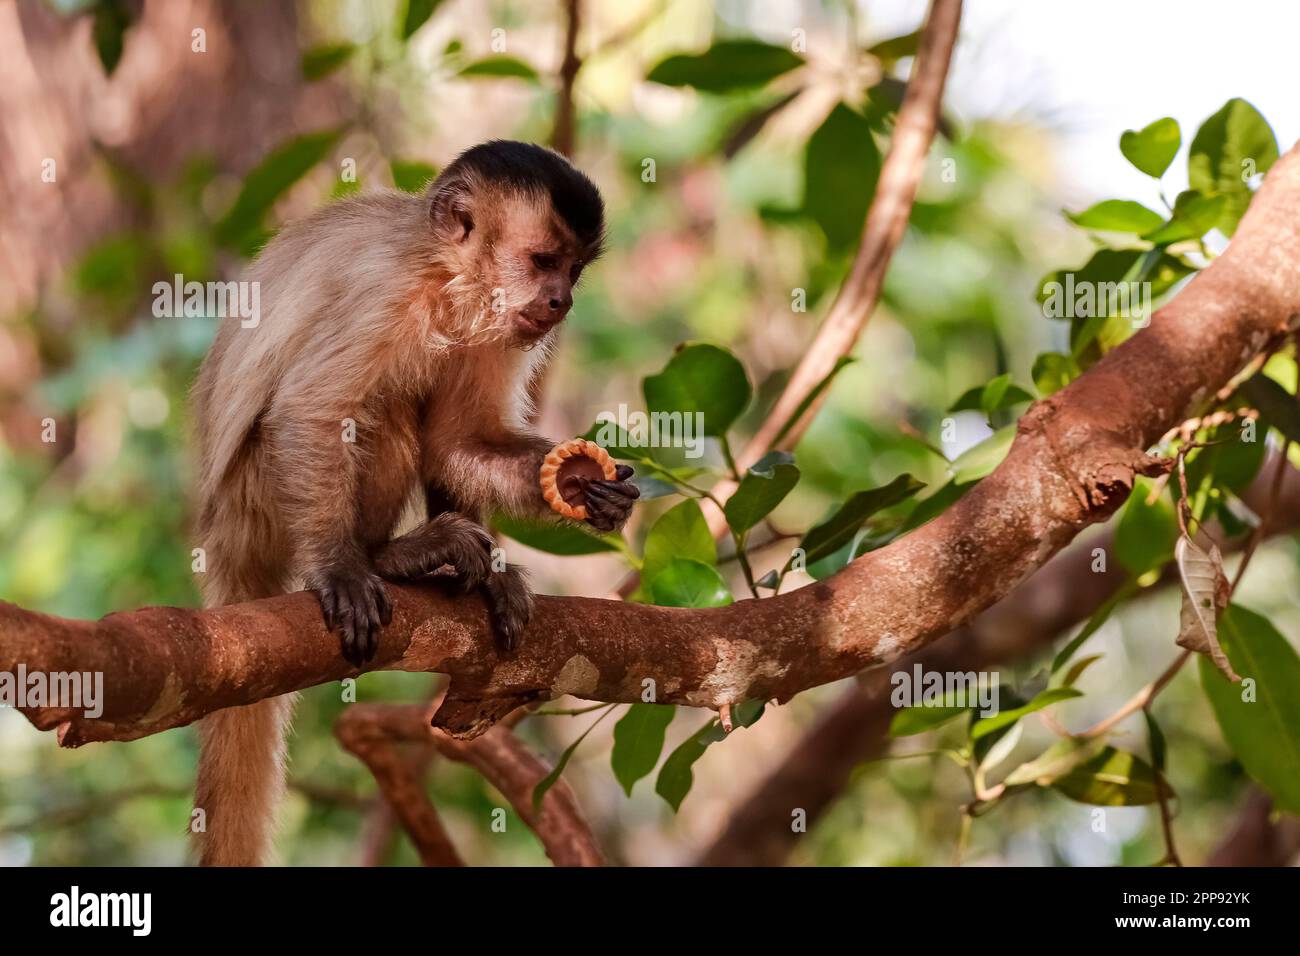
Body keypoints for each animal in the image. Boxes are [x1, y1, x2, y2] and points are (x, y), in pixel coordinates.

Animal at [189, 140, 640, 866]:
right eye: (545, 261)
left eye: (574, 270)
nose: (562, 300)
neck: (446, 282)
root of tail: (220, 538)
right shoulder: (386, 297)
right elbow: (311, 411)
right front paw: (342, 569)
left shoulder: (498, 327)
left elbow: (459, 442)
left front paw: (579, 483)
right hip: (255, 501)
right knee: (382, 408)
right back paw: (388, 557)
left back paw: (476, 575)